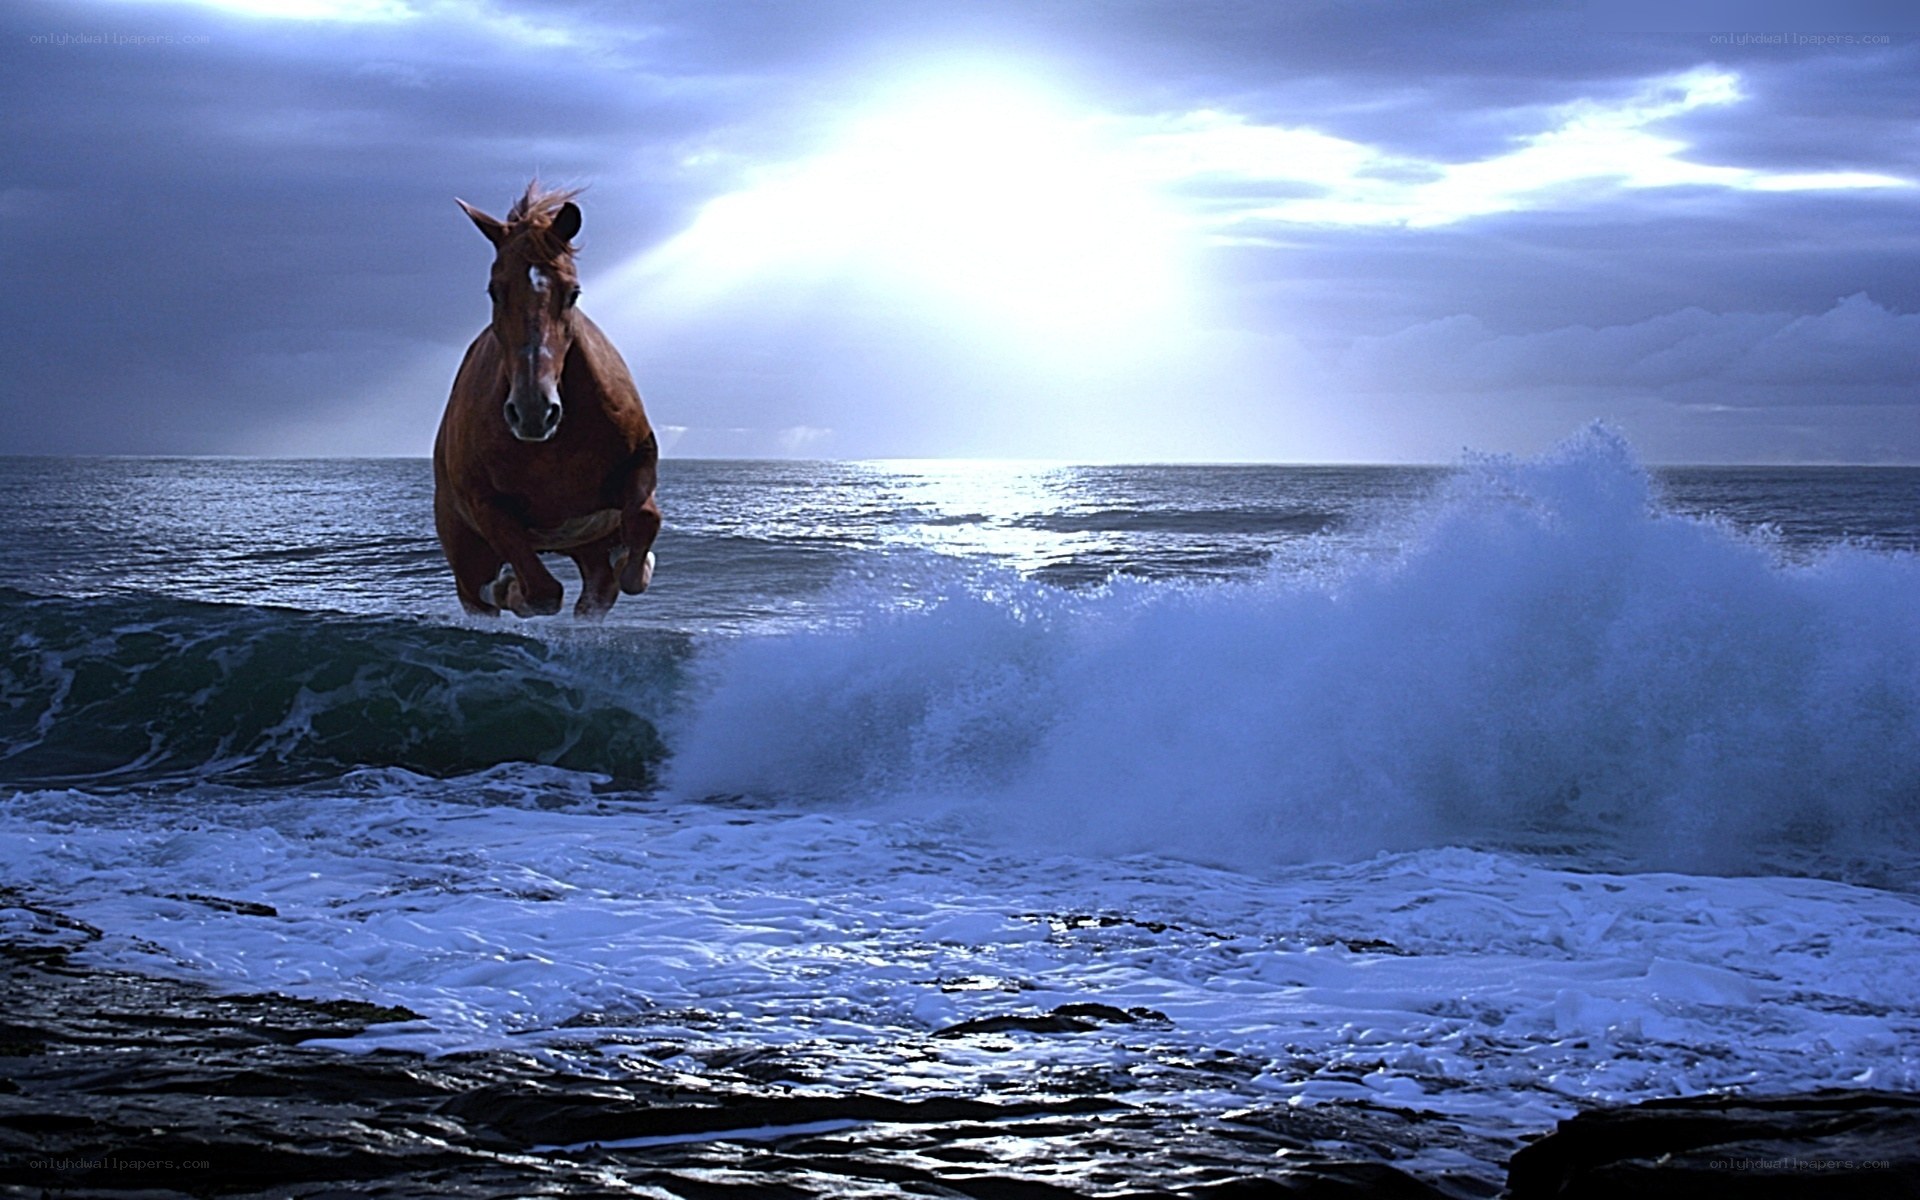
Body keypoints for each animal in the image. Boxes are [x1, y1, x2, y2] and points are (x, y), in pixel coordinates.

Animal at [434, 183, 660, 618]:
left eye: (572, 292)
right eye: (495, 291)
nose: (534, 413)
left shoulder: (639, 465)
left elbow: (643, 521)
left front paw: (634, 563)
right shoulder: (484, 505)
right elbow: (541, 591)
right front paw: (512, 588)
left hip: (587, 550)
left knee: (597, 587)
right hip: (465, 552)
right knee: (485, 591)